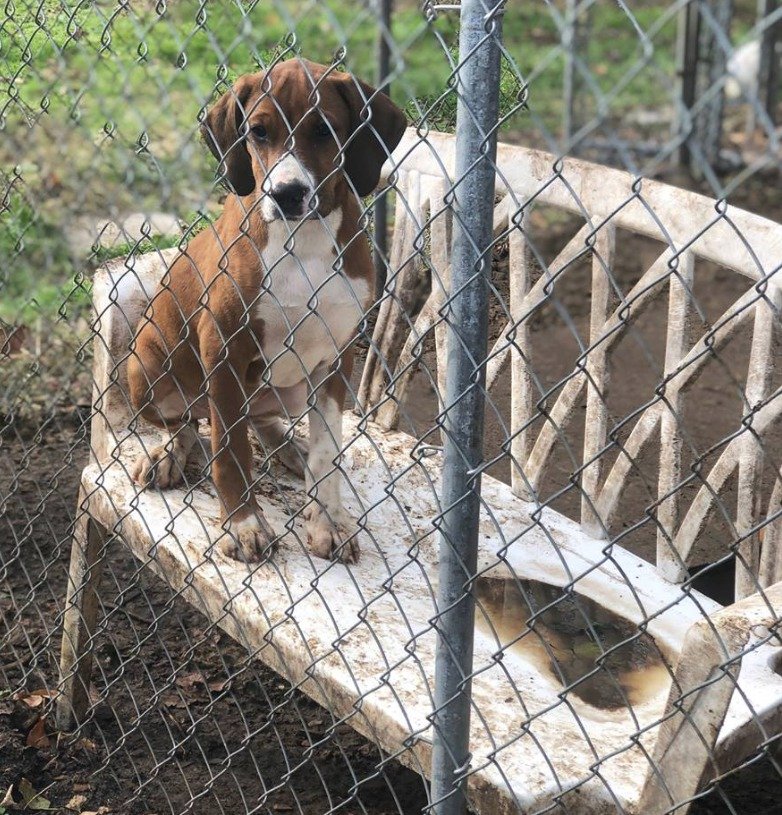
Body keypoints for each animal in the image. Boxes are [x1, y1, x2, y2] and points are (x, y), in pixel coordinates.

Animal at [125, 59, 408, 560]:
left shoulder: (337, 358)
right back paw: (167, 454)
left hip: (290, 389)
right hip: (147, 369)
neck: (303, 241)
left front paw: (327, 519)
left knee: (259, 418)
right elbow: (229, 448)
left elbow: (327, 450)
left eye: (324, 130)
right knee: (184, 423)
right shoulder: (223, 352)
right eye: (257, 132)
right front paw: (243, 524)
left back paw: (289, 447)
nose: (286, 194)